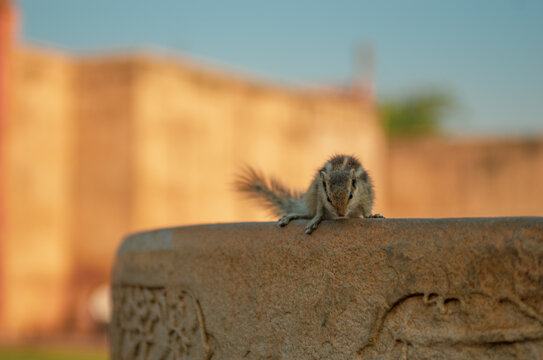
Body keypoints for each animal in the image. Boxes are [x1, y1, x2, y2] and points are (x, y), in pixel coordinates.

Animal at [236, 154, 384, 233]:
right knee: (308, 213)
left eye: (351, 196)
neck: (340, 170)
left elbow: (366, 209)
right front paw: (316, 219)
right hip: (311, 195)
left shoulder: (366, 192)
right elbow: (318, 211)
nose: (341, 215)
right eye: (328, 198)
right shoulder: (319, 193)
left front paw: (371, 216)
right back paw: (294, 215)